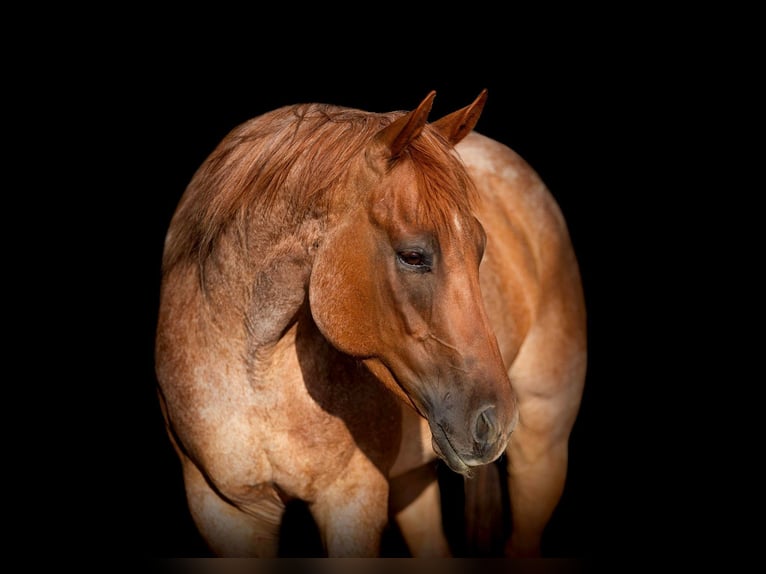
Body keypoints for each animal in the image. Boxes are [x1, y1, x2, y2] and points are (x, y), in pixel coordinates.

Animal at [154, 91, 588, 560]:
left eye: (480, 247)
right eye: (413, 256)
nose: (495, 421)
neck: (257, 376)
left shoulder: (352, 502)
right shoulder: (226, 512)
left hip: (542, 452)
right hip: (414, 482)